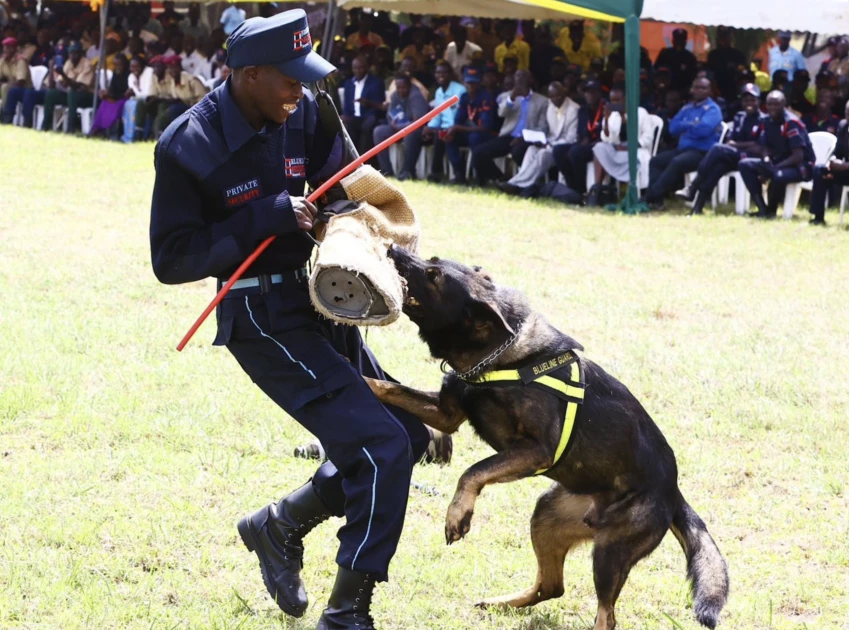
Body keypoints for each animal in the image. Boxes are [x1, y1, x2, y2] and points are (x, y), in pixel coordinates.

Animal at [364, 247, 728, 630]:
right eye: (431, 259)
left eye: (433, 275)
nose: (392, 249)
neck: (495, 353)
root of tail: (673, 492)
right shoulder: (446, 414)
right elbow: (386, 387)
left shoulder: (537, 449)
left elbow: (472, 471)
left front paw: (458, 513)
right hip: (548, 517)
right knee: (552, 587)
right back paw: (501, 604)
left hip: (610, 552)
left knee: (606, 615)